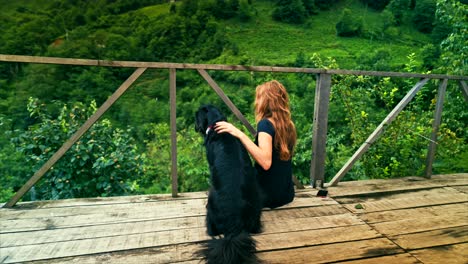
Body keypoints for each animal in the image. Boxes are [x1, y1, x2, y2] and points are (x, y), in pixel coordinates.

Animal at [195, 104, 264, 262]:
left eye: (196, 116)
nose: (196, 127)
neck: (217, 123)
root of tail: (234, 228)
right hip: (256, 202)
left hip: (210, 205)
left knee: (211, 229)